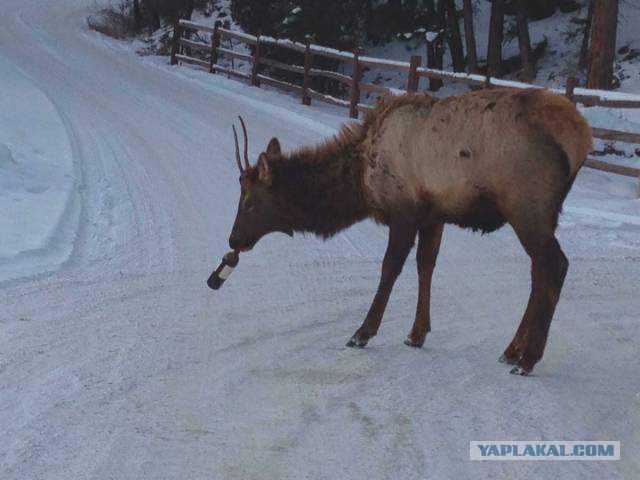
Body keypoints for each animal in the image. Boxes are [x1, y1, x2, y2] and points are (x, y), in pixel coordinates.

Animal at [228, 89, 592, 376]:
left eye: (249, 201)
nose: (233, 239)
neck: (361, 179)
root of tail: (581, 136)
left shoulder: (403, 210)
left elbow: (390, 268)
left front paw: (362, 332)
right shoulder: (434, 215)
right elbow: (425, 265)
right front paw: (417, 333)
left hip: (526, 206)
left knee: (555, 265)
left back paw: (528, 358)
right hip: (537, 215)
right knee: (539, 271)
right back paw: (512, 349)